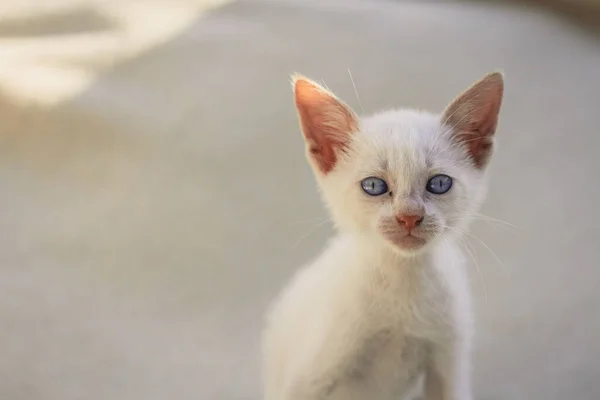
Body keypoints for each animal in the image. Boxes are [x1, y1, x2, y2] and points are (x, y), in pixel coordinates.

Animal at [264, 72, 504, 400]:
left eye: (439, 183)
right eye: (374, 186)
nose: (409, 216)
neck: (403, 279)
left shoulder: (448, 362)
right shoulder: (309, 376)